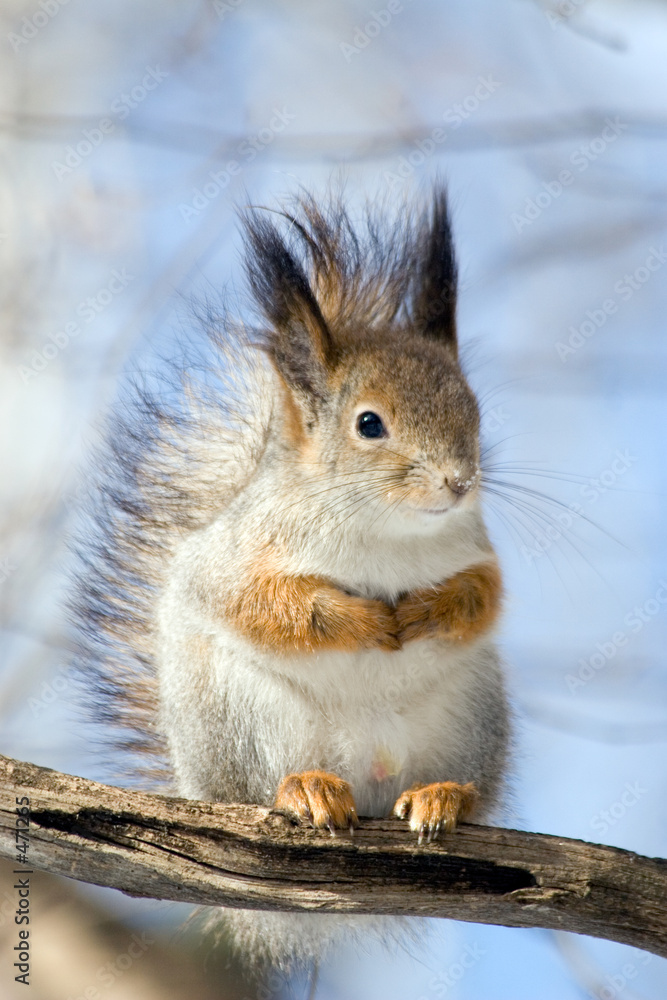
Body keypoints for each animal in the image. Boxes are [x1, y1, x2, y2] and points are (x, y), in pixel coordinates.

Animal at [72, 185, 510, 970]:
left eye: (473, 410)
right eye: (369, 424)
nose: (458, 483)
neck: (385, 531)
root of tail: (370, 783)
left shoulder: (477, 546)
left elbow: (484, 595)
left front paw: (431, 610)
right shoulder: (233, 561)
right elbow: (261, 604)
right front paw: (360, 620)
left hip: (473, 710)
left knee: (468, 785)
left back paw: (443, 796)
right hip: (240, 716)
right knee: (258, 789)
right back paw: (304, 790)